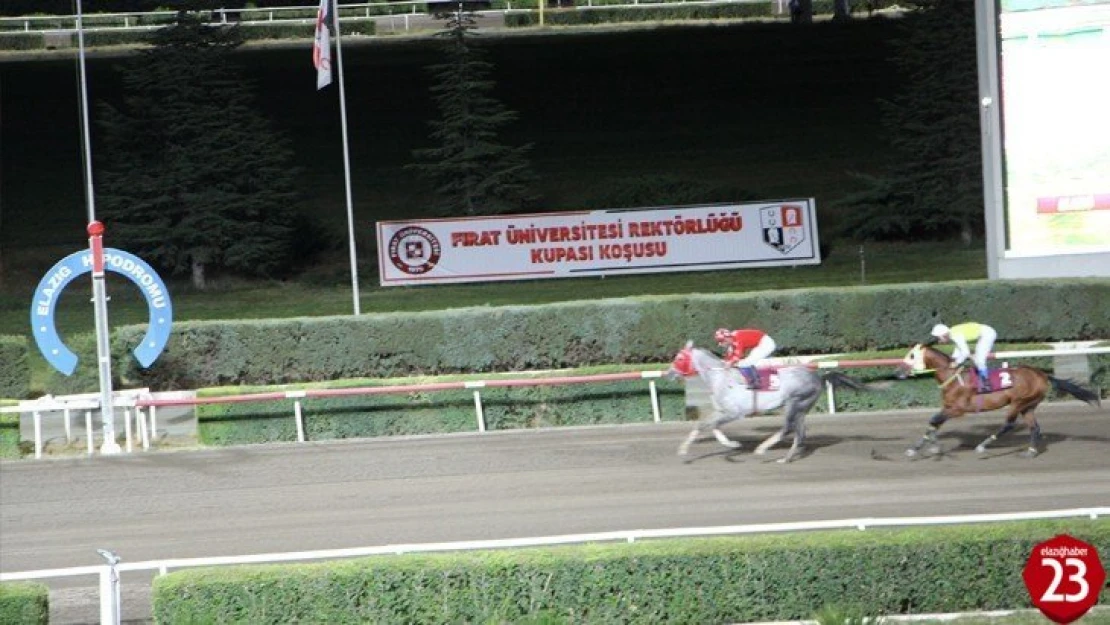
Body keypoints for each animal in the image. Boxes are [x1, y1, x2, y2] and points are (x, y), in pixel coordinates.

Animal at [661, 339, 870, 461]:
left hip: (794, 402)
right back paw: (786, 458)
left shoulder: (734, 413)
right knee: (800, 433)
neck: (720, 377)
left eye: (679, 358)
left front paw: (684, 450)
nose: (668, 373)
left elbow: (706, 425)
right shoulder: (722, 411)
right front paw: (732, 445)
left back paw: (762, 449)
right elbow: (710, 426)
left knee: (788, 428)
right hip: (801, 408)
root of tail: (817, 377)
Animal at [901, 341, 1101, 459]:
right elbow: (934, 423)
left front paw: (932, 447)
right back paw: (1030, 451)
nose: (898, 372)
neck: (953, 377)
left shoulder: (958, 409)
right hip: (1028, 406)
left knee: (1009, 424)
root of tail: (1042, 375)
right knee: (1034, 427)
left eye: (912, 356)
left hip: (1018, 402)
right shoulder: (948, 407)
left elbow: (933, 420)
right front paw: (920, 448)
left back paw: (982, 446)